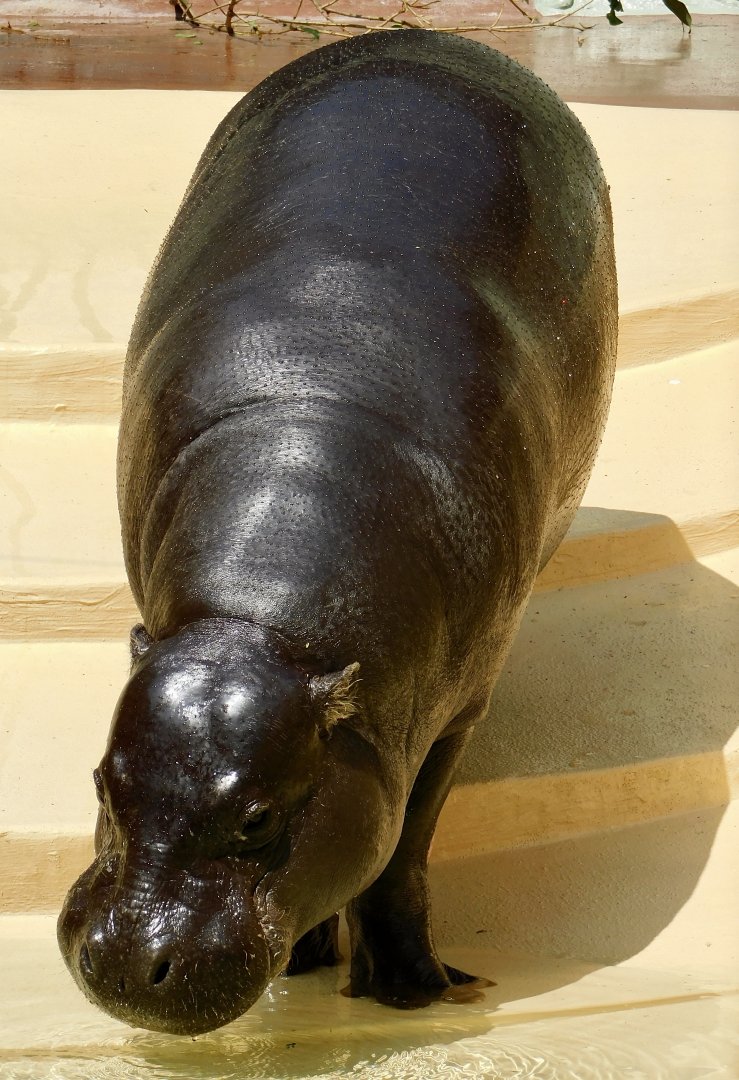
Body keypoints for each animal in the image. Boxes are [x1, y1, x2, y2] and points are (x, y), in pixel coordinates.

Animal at [58, 28, 617, 1035]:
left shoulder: (447, 722)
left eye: (256, 819)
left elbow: (399, 851)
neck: (260, 627)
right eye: (100, 782)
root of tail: (425, 38)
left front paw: (416, 993)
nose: (124, 963)